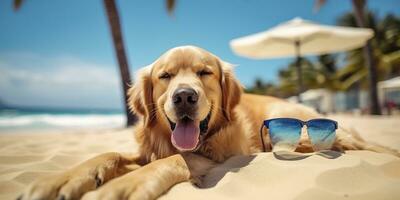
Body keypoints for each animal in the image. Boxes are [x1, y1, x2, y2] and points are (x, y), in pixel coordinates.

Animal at [20, 45, 398, 200]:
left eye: (204, 73)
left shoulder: (214, 158)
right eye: (165, 76)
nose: (185, 97)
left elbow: (175, 158)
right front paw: (61, 180)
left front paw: (123, 186)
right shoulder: (145, 150)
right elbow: (107, 154)